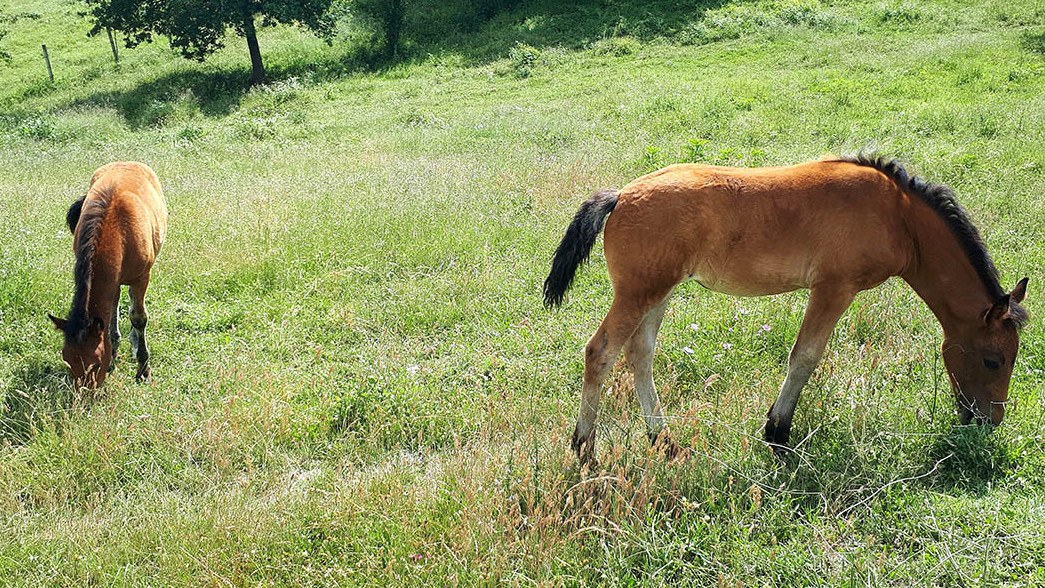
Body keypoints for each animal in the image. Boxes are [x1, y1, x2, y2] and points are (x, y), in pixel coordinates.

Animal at [48, 162, 167, 388]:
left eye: (95, 364)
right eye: (67, 361)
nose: (84, 394)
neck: (116, 228)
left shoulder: (142, 277)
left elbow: (139, 318)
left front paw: (143, 369)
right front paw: (113, 352)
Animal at [547, 155, 1028, 465]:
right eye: (993, 359)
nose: (989, 421)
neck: (898, 216)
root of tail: (621, 195)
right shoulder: (834, 287)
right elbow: (805, 357)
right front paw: (778, 434)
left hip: (657, 293)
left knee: (639, 355)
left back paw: (663, 441)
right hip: (638, 293)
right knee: (600, 352)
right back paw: (584, 448)